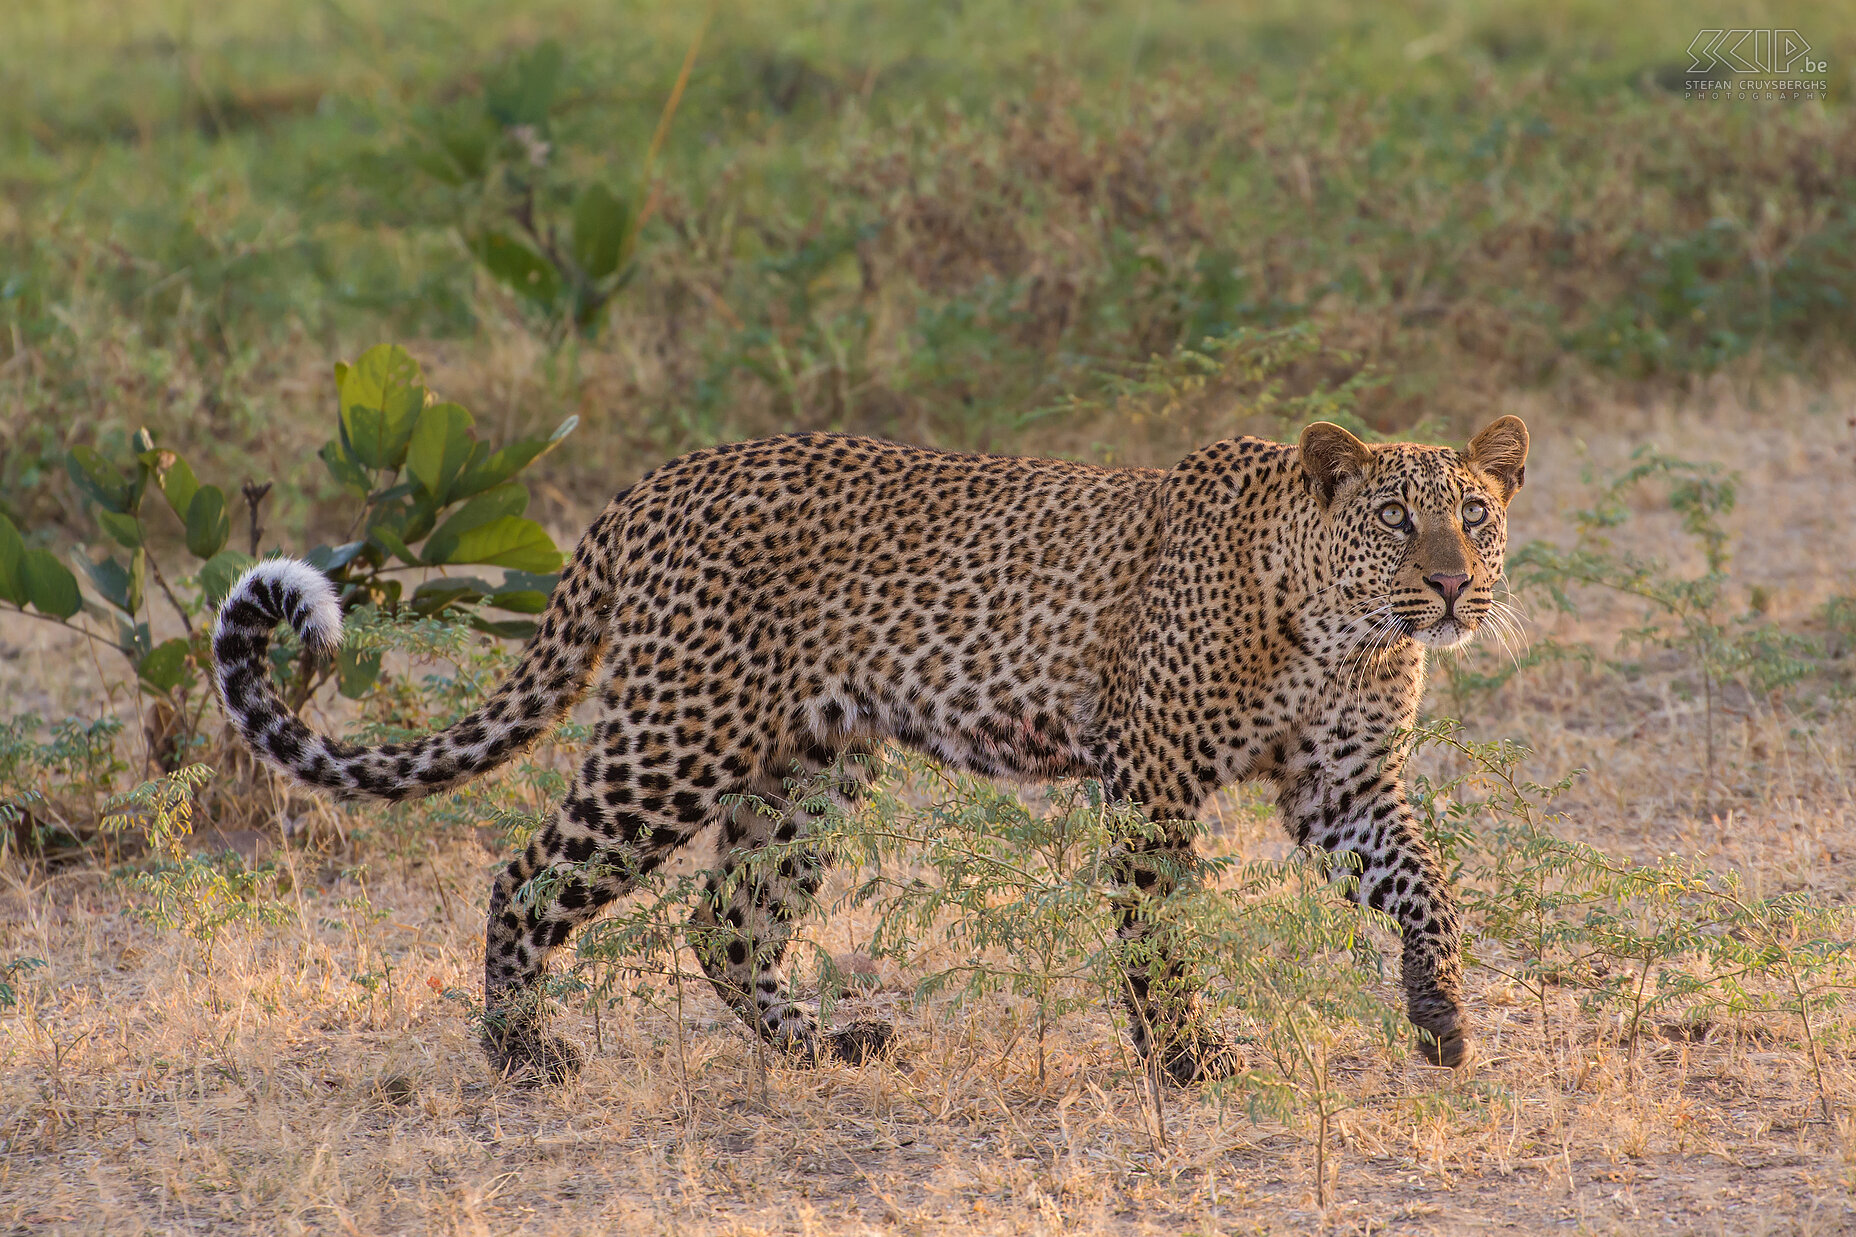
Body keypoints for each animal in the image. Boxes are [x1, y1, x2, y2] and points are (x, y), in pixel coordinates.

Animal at [210, 414, 1529, 1077]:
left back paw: (821, 1046)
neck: (1343, 633)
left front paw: (1440, 1018)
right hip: (673, 736)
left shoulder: (1342, 789)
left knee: (727, 921)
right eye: (1392, 519)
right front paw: (1185, 1061)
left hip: (808, 765)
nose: (1451, 586)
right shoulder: (1150, 782)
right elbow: (1156, 934)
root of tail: (647, 489)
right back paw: (520, 1053)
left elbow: (1428, 890)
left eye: (1472, 514)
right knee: (527, 875)